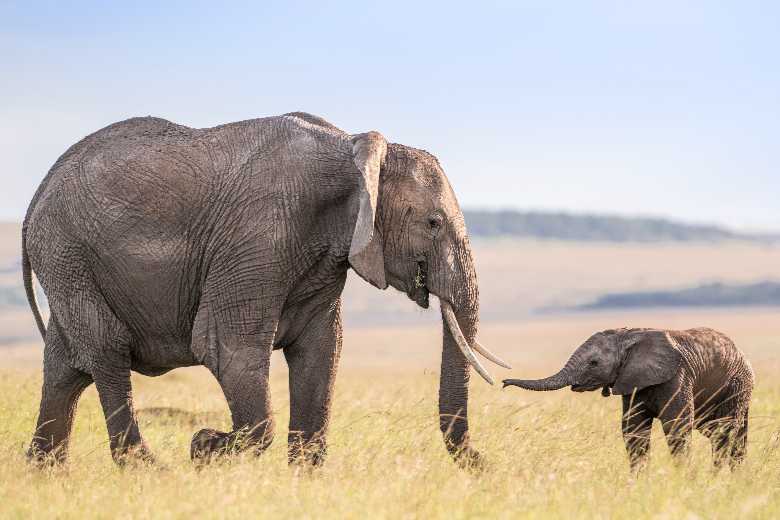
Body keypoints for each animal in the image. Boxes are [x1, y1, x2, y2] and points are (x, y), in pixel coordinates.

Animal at [23, 112, 511, 466]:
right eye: (433, 223)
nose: (486, 465)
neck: (351, 149)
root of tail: (36, 197)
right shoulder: (259, 235)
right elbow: (227, 347)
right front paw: (203, 448)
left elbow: (320, 352)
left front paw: (304, 483)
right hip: (67, 252)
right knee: (106, 350)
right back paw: (147, 470)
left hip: (66, 262)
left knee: (65, 369)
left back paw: (44, 473)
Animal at [503, 327, 754, 469]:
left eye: (594, 362)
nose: (504, 382)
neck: (628, 336)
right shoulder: (631, 383)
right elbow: (633, 430)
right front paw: (639, 483)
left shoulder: (677, 377)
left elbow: (676, 426)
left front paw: (683, 479)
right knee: (733, 433)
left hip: (737, 384)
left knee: (723, 432)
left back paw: (721, 477)